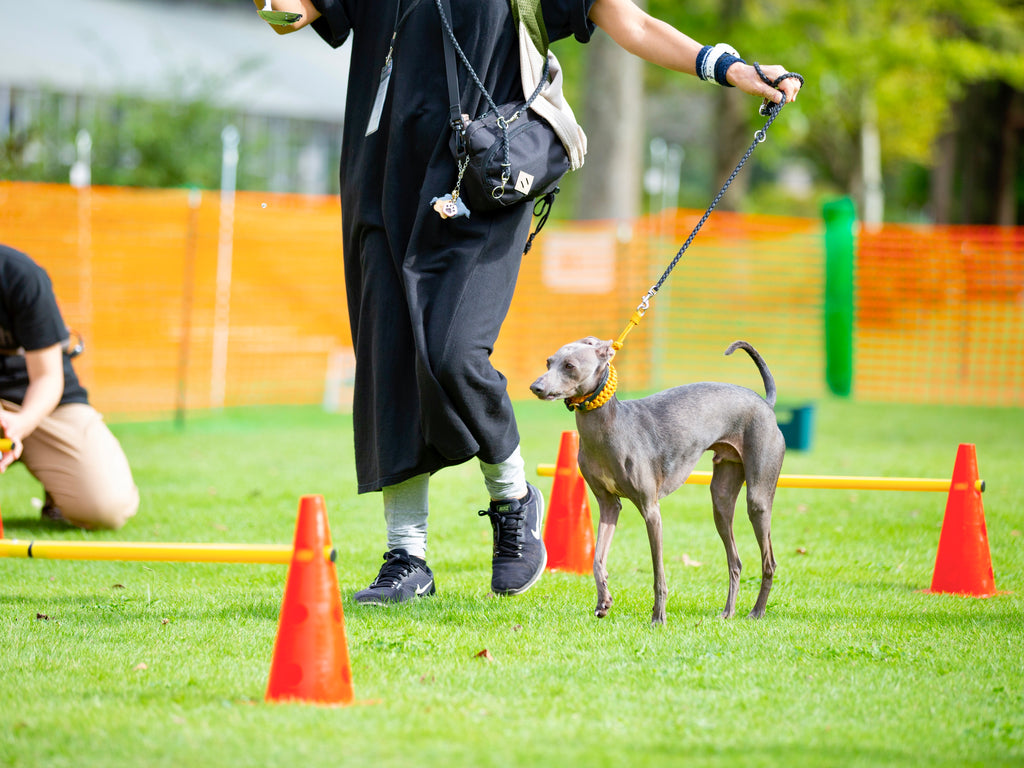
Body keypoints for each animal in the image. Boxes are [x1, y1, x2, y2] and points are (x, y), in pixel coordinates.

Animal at [528, 339, 782, 626]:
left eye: (570, 366)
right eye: (549, 362)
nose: (536, 387)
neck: (609, 426)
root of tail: (765, 403)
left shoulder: (651, 511)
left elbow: (658, 572)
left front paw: (658, 617)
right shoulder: (609, 506)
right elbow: (597, 559)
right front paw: (603, 601)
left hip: (758, 497)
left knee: (769, 561)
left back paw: (757, 611)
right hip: (721, 499)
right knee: (735, 561)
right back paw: (728, 612)